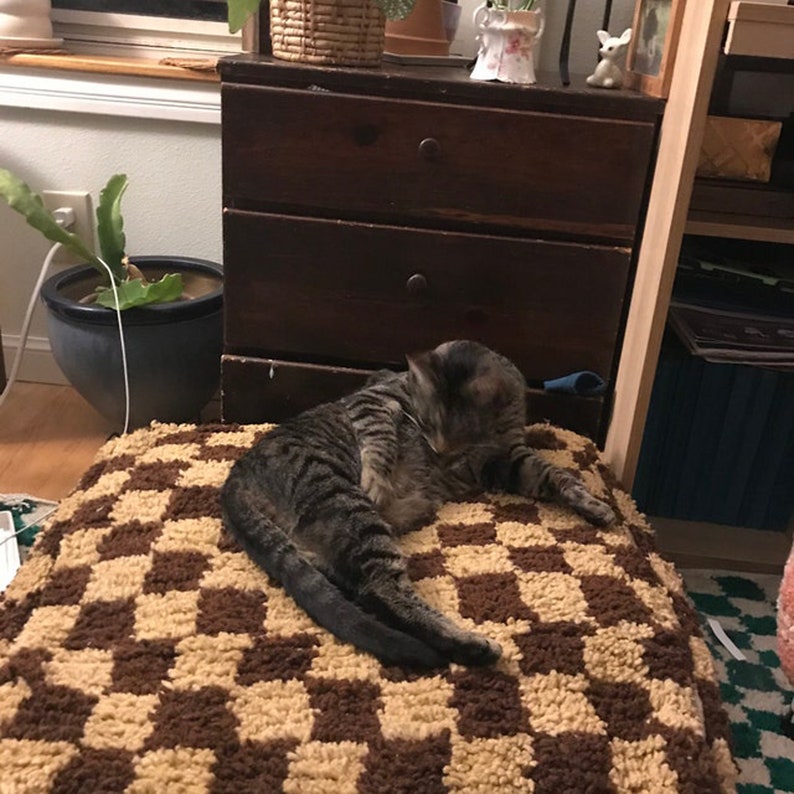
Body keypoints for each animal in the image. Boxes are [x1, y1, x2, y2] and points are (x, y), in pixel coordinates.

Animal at [220, 338, 616, 664]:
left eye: (455, 431)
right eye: (425, 422)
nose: (439, 453)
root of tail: (232, 481)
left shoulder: (508, 459)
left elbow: (558, 476)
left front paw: (593, 504)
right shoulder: (381, 400)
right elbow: (378, 438)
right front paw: (378, 475)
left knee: (357, 587)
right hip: (348, 507)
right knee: (384, 590)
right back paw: (472, 645)